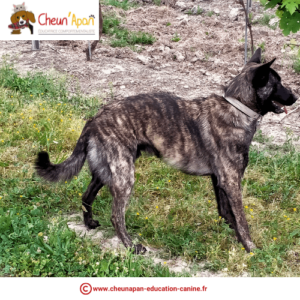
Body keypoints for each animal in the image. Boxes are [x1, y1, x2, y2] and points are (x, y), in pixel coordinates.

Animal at [35, 48, 298, 253]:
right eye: (278, 83)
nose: (295, 96)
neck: (238, 107)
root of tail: (95, 119)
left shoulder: (219, 180)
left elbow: (226, 211)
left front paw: (231, 235)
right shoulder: (232, 181)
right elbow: (241, 219)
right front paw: (250, 247)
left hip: (105, 169)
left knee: (86, 196)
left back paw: (89, 224)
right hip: (124, 174)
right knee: (116, 215)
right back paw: (131, 246)